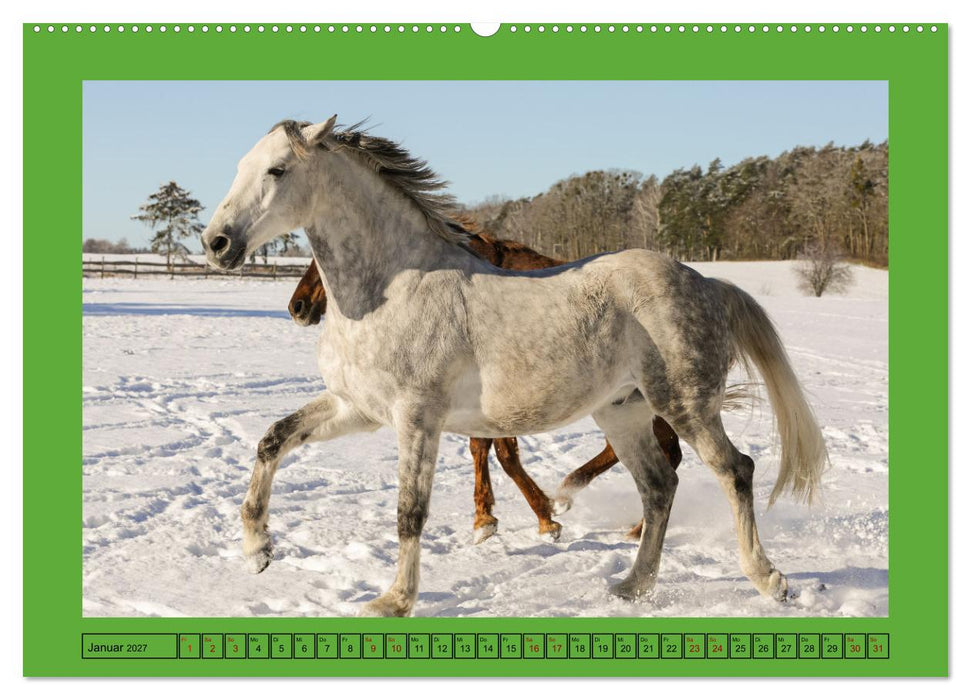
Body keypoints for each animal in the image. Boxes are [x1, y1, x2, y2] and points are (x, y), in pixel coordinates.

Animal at [288, 239, 684, 542]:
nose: (297, 306)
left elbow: (503, 455)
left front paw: (542, 518)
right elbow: (484, 450)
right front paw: (488, 518)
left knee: (661, 454)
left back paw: (603, 509)